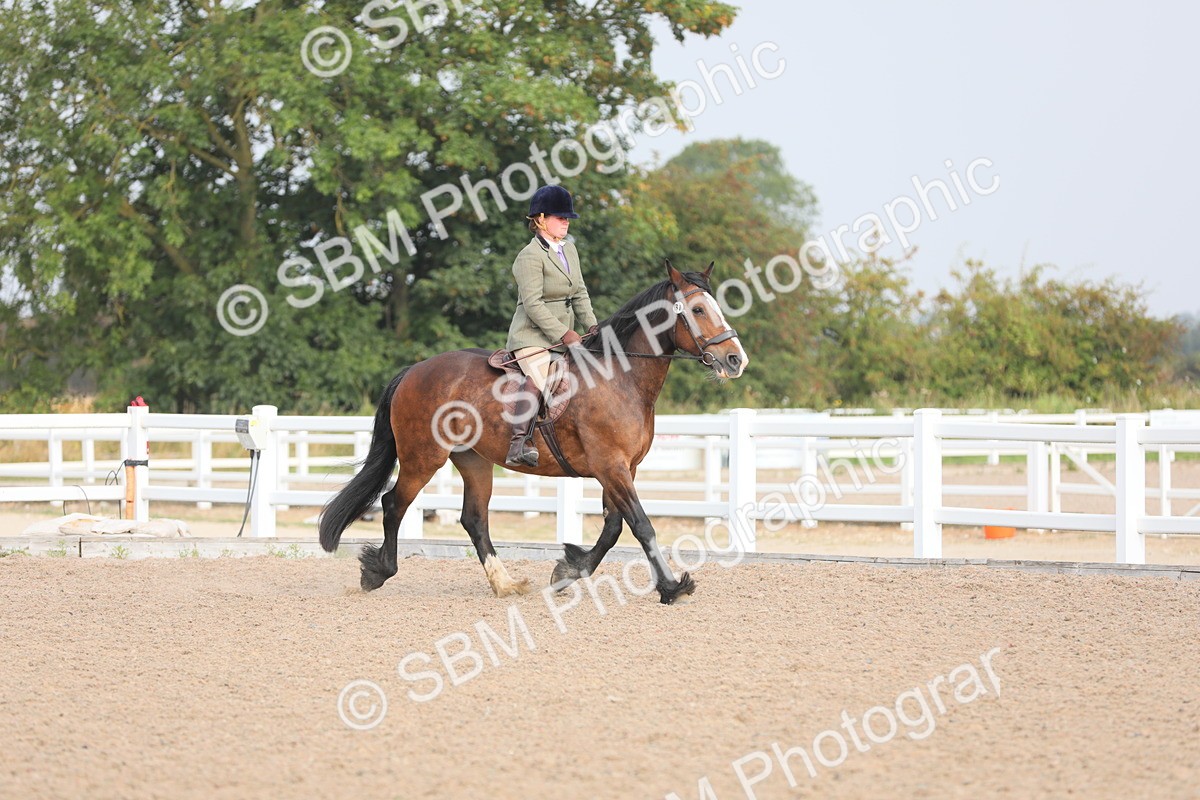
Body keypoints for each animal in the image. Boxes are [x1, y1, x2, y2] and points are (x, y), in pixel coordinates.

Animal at [318, 261, 749, 604]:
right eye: (697, 309)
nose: (735, 360)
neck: (621, 377)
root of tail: (414, 370)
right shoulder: (611, 466)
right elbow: (641, 525)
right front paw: (672, 588)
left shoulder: (623, 468)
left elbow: (613, 528)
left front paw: (568, 571)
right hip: (424, 457)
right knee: (394, 504)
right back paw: (378, 572)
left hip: (473, 460)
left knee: (474, 519)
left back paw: (504, 584)